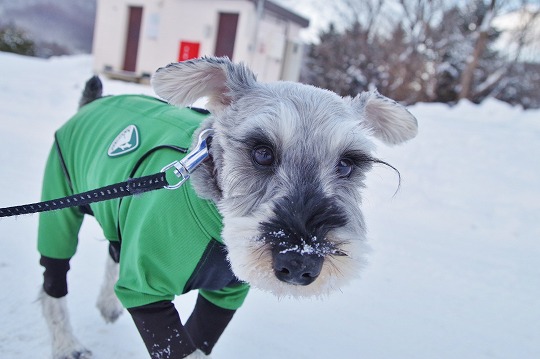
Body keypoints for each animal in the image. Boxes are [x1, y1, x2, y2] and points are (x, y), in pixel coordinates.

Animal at [39, 57, 418, 359]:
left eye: (347, 164)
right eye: (261, 152)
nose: (301, 263)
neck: (213, 221)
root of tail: (92, 103)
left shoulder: (224, 297)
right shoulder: (145, 288)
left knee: (113, 252)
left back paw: (106, 306)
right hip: (58, 207)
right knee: (53, 281)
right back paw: (66, 346)